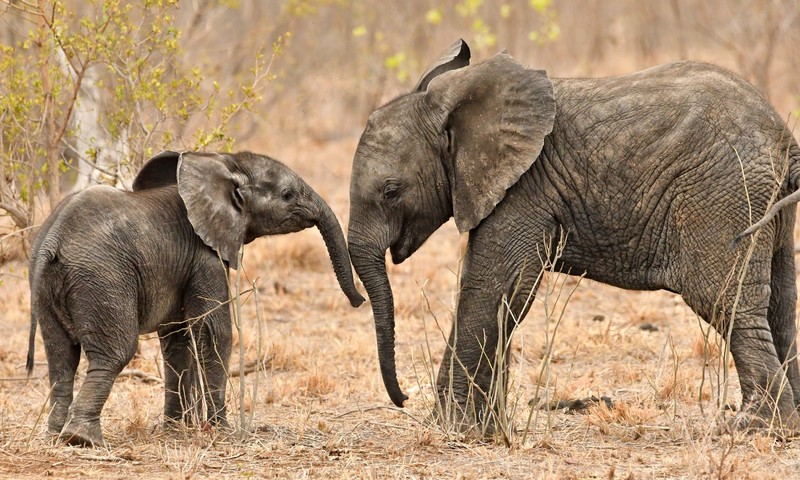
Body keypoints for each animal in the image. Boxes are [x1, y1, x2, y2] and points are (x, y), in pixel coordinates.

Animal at [27, 150, 365, 447]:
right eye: (288, 194)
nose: (359, 301)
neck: (223, 163)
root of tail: (52, 240)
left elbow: (176, 339)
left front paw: (176, 429)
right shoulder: (205, 256)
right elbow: (215, 332)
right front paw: (221, 430)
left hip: (45, 287)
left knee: (61, 359)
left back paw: (56, 436)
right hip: (102, 278)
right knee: (114, 353)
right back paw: (84, 439)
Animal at [347, 39, 800, 432]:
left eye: (391, 191)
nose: (403, 398)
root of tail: (782, 136)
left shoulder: (523, 188)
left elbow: (491, 287)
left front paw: (454, 429)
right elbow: (509, 294)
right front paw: (483, 429)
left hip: (723, 194)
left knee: (725, 301)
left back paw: (755, 426)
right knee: (779, 306)